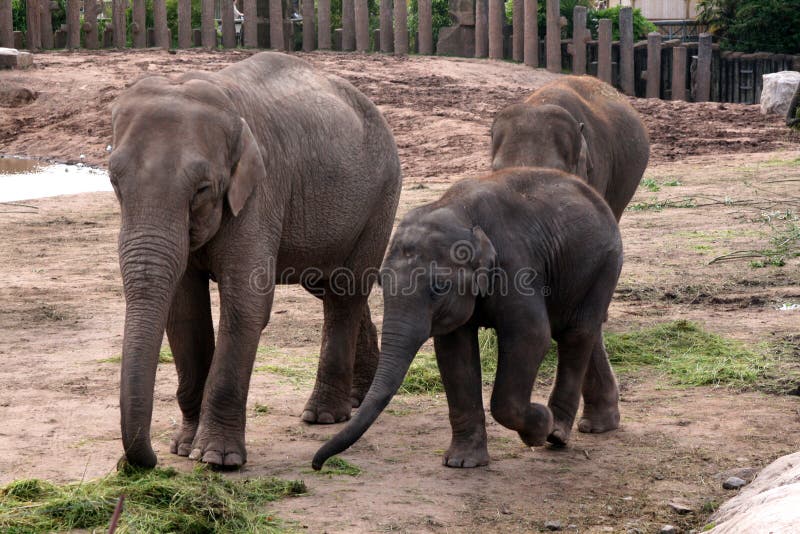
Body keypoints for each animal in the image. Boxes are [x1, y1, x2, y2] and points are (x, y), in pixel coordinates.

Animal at [109, 50, 404, 468]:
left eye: (202, 189)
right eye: (114, 181)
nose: (141, 462)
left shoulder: (259, 194)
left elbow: (245, 305)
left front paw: (215, 459)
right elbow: (183, 311)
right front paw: (183, 448)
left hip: (381, 194)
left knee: (346, 292)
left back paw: (323, 415)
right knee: (330, 287)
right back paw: (358, 400)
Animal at [316, 166, 620, 468]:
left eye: (438, 288)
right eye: (380, 282)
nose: (318, 465)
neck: (459, 211)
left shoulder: (516, 266)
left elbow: (531, 336)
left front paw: (539, 427)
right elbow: (455, 352)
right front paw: (462, 462)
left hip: (604, 263)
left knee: (576, 334)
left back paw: (556, 433)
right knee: (581, 331)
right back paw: (594, 425)